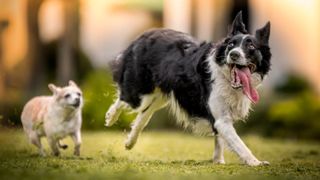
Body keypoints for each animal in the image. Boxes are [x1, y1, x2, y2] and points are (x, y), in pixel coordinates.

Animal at [106, 12, 272, 166]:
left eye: (251, 46)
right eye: (231, 45)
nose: (234, 54)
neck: (227, 79)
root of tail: (145, 34)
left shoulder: (221, 117)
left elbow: (219, 140)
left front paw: (218, 160)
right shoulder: (222, 120)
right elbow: (239, 143)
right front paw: (255, 162)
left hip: (160, 96)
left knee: (144, 115)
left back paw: (130, 142)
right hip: (142, 93)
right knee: (124, 99)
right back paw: (110, 117)